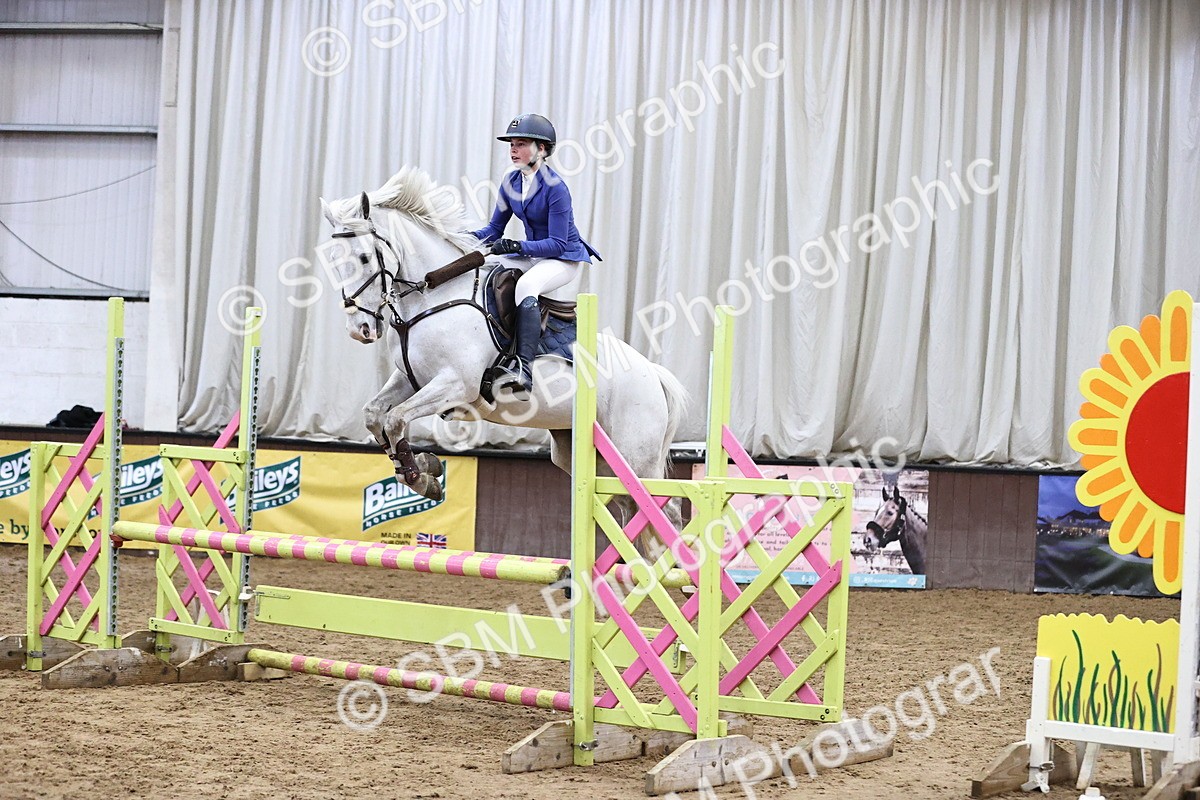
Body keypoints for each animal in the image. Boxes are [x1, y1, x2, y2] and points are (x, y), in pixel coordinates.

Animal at [319, 167, 687, 548]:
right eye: (333, 261)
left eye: (364, 258)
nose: (359, 328)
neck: (430, 298)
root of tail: (653, 373)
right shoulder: (410, 379)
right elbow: (375, 415)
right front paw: (421, 471)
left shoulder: (456, 385)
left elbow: (394, 419)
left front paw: (421, 476)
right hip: (583, 453)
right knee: (631, 510)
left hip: (635, 454)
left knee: (663, 510)